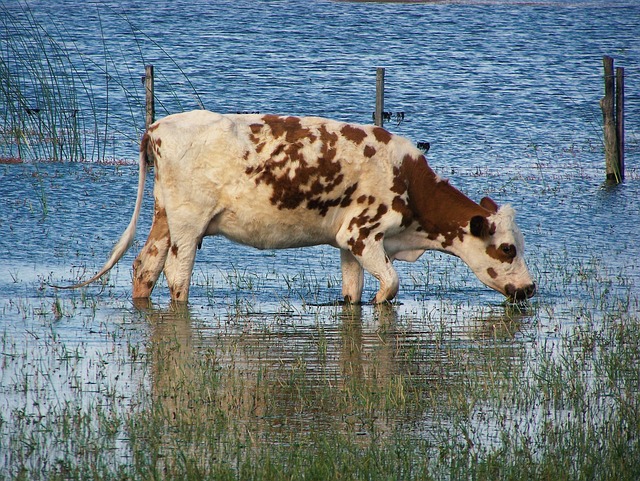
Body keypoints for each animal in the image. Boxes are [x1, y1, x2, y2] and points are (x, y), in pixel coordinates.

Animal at [62, 110, 536, 302]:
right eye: (508, 248)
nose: (530, 288)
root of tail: (157, 126)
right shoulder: (362, 235)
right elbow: (390, 287)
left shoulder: (347, 244)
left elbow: (352, 294)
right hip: (188, 225)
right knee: (177, 281)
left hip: (165, 218)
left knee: (145, 267)